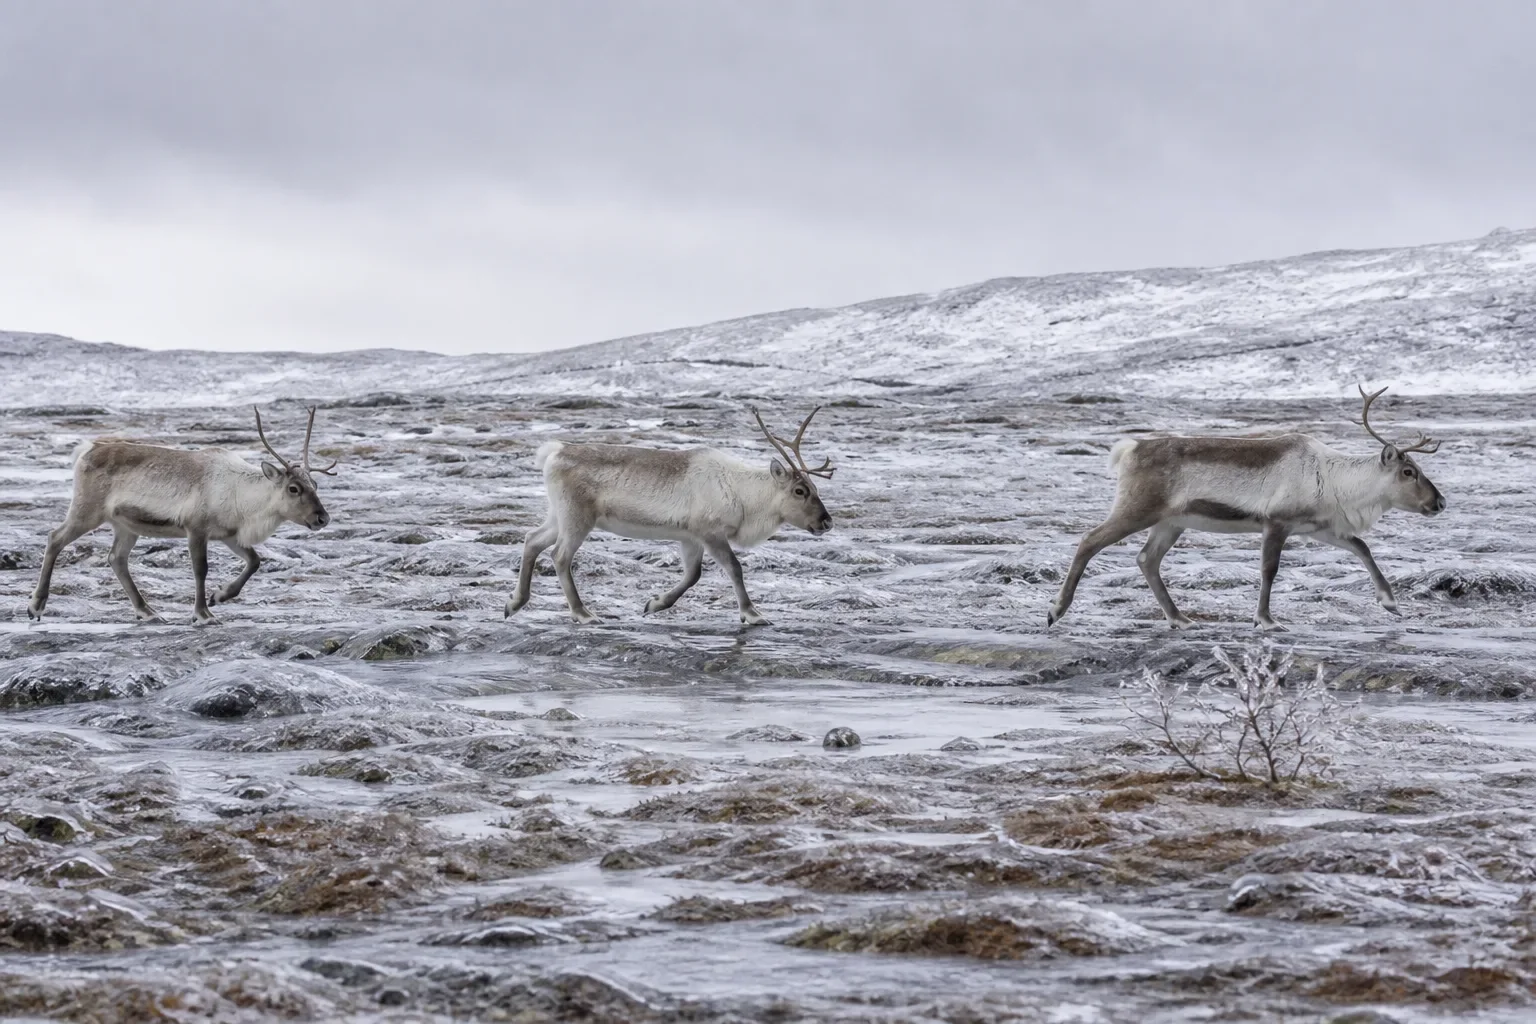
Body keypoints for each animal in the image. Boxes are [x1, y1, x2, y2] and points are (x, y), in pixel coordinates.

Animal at [27, 407, 336, 625]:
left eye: (315, 484)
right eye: (294, 488)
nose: (323, 518)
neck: (243, 495)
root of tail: (86, 450)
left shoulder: (229, 534)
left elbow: (255, 561)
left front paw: (220, 595)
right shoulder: (195, 528)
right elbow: (200, 569)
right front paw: (203, 614)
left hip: (125, 525)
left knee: (116, 558)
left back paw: (147, 611)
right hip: (87, 510)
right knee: (55, 538)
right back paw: (36, 606)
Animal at [505, 406, 834, 625]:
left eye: (816, 487)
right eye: (800, 491)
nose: (827, 521)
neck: (745, 497)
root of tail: (554, 452)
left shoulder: (690, 538)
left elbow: (692, 575)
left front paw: (654, 604)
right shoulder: (710, 533)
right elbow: (735, 568)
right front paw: (753, 614)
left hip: (558, 515)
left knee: (532, 539)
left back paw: (515, 603)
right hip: (577, 517)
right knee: (560, 555)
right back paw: (583, 613)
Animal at [1047, 385, 1446, 631]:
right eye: (1409, 471)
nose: (1439, 502)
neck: (1335, 480)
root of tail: (1130, 449)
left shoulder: (1319, 526)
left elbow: (1362, 547)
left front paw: (1390, 603)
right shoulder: (1276, 521)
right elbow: (1269, 570)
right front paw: (1266, 620)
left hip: (1171, 522)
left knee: (1147, 559)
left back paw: (1180, 618)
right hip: (1138, 507)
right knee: (1090, 539)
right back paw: (1056, 610)